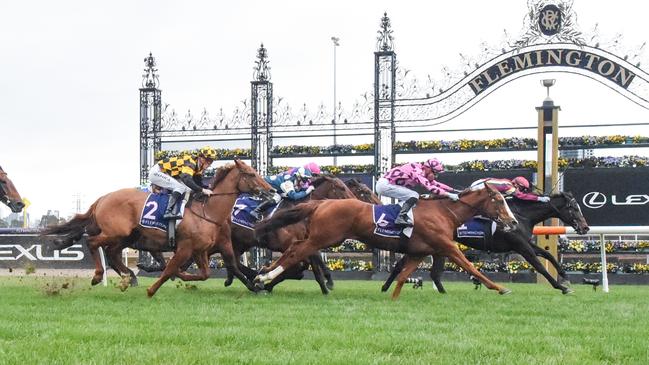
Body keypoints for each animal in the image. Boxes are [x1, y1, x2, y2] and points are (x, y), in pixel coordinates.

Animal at [42, 160, 270, 296]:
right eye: (250, 174)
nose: (270, 190)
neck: (208, 212)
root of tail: (103, 198)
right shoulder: (186, 247)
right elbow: (170, 268)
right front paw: (152, 289)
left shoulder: (201, 249)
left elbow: (205, 273)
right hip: (117, 233)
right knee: (93, 242)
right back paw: (100, 275)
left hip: (124, 236)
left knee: (110, 252)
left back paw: (128, 277)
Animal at [253, 183, 516, 298]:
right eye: (499, 200)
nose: (512, 222)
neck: (443, 212)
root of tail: (322, 202)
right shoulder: (447, 247)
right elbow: (472, 267)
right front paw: (500, 288)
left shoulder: (418, 252)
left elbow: (401, 276)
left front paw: (392, 298)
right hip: (324, 237)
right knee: (297, 252)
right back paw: (265, 276)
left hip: (319, 238)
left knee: (294, 249)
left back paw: (262, 274)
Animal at [382, 192, 588, 294]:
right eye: (573, 208)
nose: (585, 227)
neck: (521, 215)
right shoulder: (520, 245)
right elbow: (539, 266)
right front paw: (561, 287)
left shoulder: (524, 243)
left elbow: (548, 254)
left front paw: (564, 276)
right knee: (408, 266)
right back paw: (386, 287)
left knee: (431, 272)